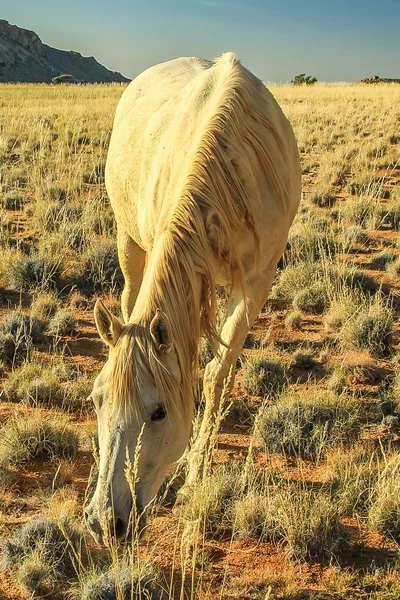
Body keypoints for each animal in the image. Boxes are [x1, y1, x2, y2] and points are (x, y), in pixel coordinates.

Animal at [83, 54, 300, 548]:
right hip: (129, 240)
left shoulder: (255, 283)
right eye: (97, 400)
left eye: (159, 412)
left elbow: (216, 373)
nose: (105, 523)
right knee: (129, 299)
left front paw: (195, 474)